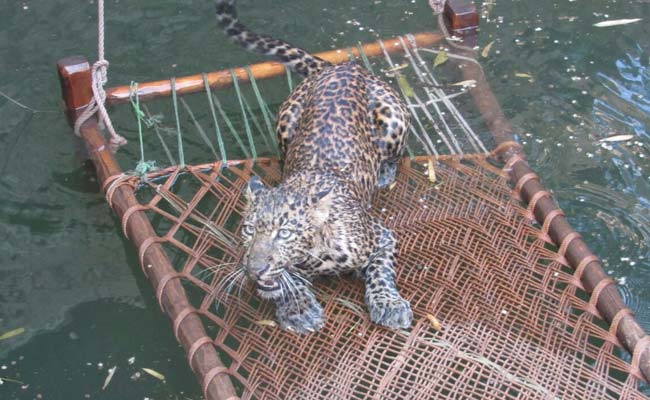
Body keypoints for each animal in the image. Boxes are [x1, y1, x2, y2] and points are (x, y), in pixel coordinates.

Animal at [215, 0, 412, 334]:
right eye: (250, 230)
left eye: (284, 233)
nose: (255, 269)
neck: (313, 255)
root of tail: (339, 67)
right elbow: (286, 283)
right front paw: (299, 309)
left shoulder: (382, 238)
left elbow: (380, 273)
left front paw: (389, 305)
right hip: (286, 119)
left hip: (393, 117)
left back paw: (385, 173)